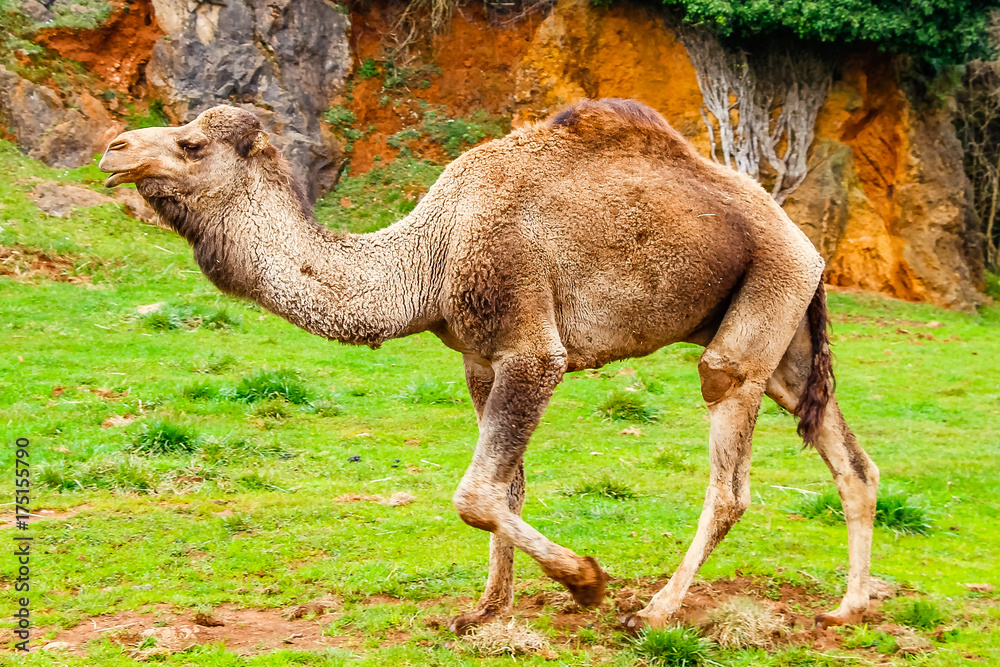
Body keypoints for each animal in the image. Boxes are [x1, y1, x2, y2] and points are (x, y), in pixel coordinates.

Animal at [99, 99, 878, 633]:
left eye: (191, 143)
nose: (114, 148)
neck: (431, 257)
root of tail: (809, 246)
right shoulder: (480, 358)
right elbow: (509, 487)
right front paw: (486, 609)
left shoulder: (532, 350)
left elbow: (476, 493)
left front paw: (586, 581)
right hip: (784, 335)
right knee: (853, 464)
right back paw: (847, 607)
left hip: (758, 309)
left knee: (730, 470)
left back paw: (655, 610)